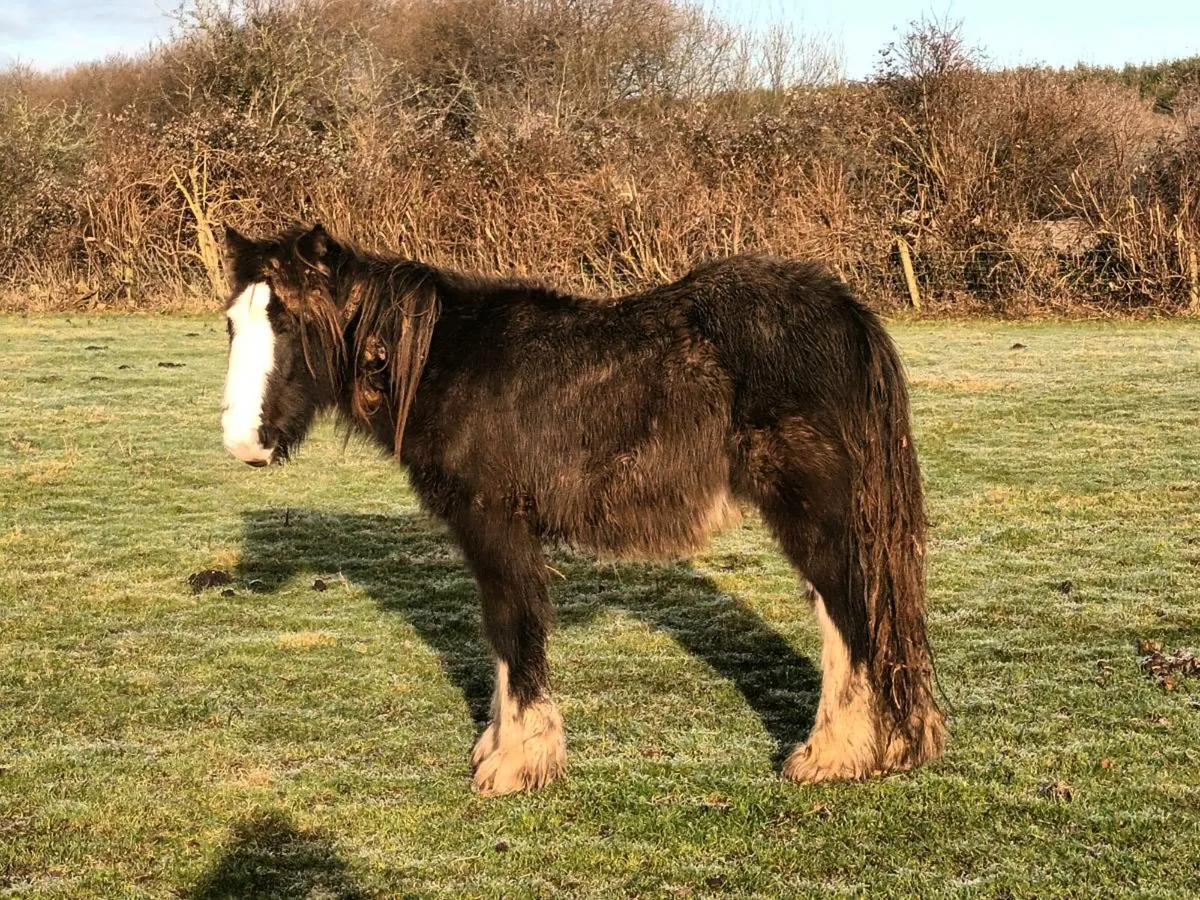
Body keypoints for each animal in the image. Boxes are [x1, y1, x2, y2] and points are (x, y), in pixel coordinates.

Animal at [218, 223, 946, 796]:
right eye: (232, 323)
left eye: (292, 322)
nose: (243, 442)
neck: (442, 365)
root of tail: (845, 312)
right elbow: (500, 639)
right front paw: (499, 746)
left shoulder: (497, 526)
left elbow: (513, 631)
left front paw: (516, 764)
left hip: (814, 517)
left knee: (851, 619)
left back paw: (834, 756)